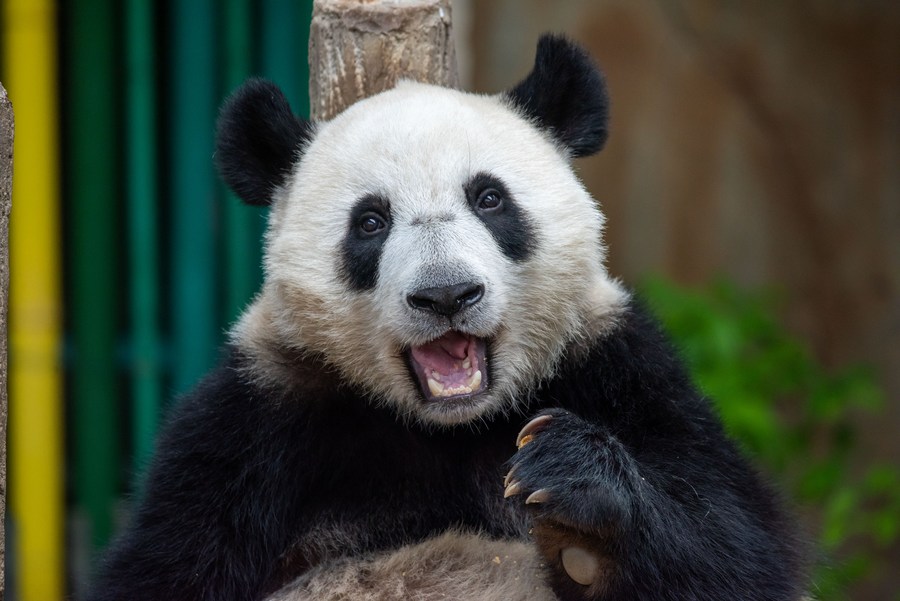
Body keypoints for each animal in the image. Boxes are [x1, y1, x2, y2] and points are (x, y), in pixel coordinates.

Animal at [87, 35, 807, 601]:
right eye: (370, 221)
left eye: (489, 198)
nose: (446, 294)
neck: (450, 427)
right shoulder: (250, 423)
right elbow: (162, 569)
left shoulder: (619, 368)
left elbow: (741, 547)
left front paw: (568, 478)